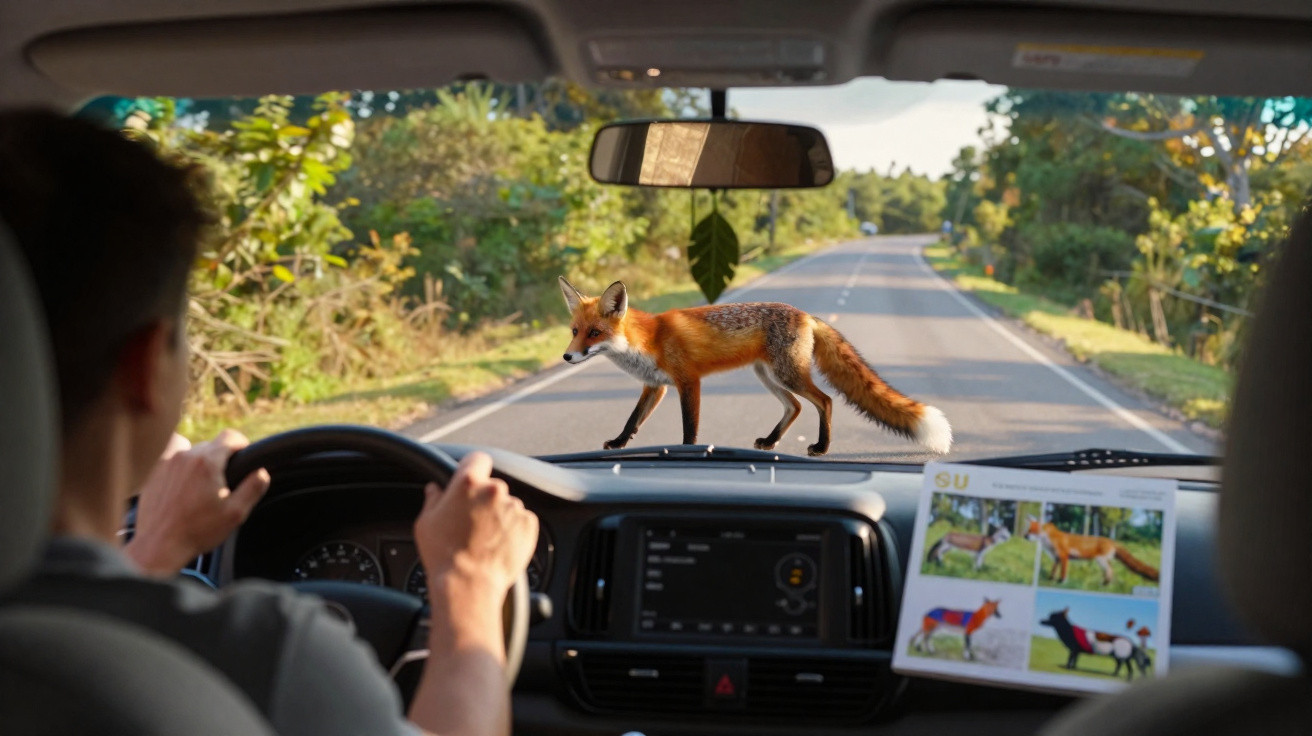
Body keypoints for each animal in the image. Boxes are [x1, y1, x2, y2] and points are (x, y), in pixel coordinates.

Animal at [557, 277, 953, 456]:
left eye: (595, 333)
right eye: (575, 332)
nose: (566, 357)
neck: (649, 340)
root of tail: (806, 314)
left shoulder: (688, 382)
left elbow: (689, 429)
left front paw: (687, 453)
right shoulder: (655, 386)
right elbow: (632, 421)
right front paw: (619, 442)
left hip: (786, 375)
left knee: (824, 401)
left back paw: (821, 447)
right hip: (768, 376)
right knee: (795, 408)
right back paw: (771, 441)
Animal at [1024, 517, 1159, 586]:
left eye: (1033, 531)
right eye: (1028, 530)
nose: (1025, 536)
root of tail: (1112, 541)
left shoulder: (1064, 556)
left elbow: (1063, 572)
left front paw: (1061, 582)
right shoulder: (1057, 558)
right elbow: (1053, 570)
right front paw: (1050, 579)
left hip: (1101, 560)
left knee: (1110, 571)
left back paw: (1104, 584)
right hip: (1104, 561)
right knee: (1111, 571)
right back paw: (1105, 584)